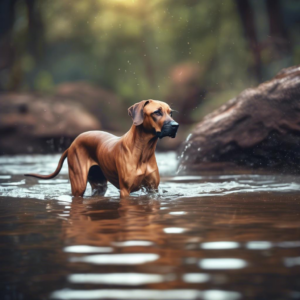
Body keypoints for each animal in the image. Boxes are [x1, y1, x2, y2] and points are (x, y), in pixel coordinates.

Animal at [25, 99, 178, 198]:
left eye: (171, 113)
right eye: (157, 112)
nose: (176, 126)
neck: (144, 150)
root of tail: (71, 145)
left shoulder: (152, 189)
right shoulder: (125, 190)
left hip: (99, 185)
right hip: (79, 183)